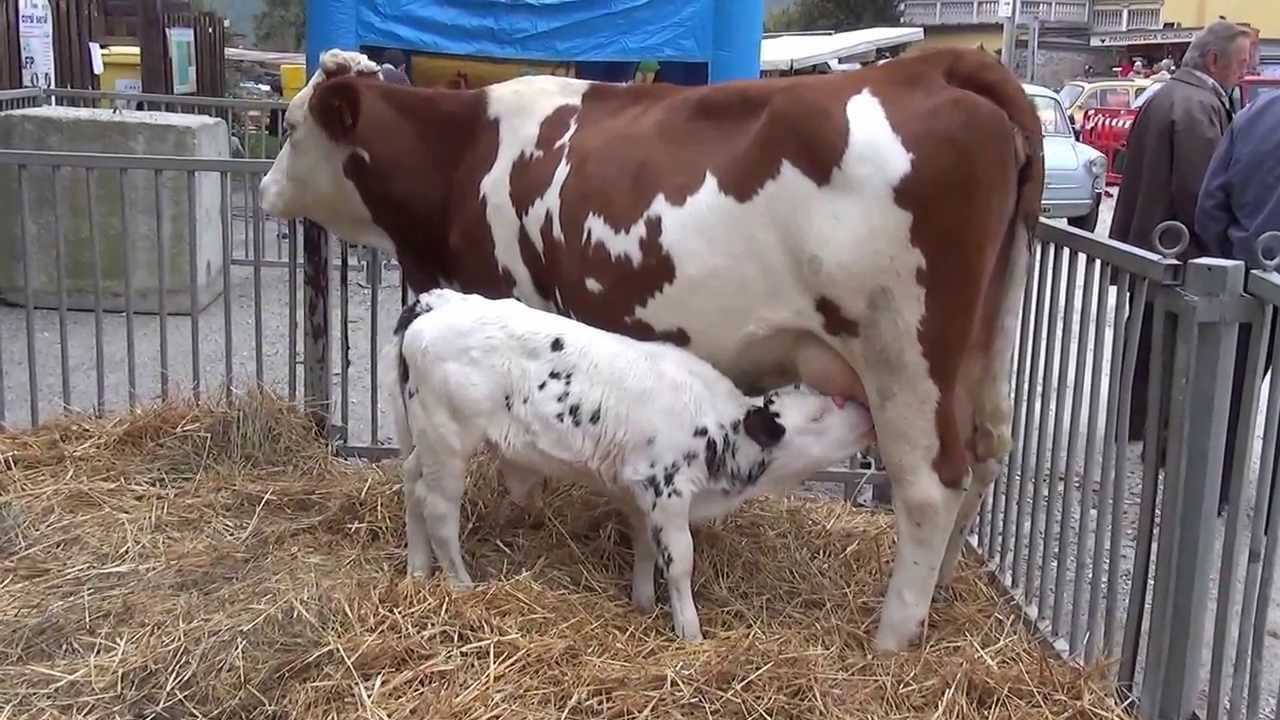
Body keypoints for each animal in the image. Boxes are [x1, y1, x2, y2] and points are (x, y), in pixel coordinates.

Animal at [383, 287, 876, 641]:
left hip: (424, 438)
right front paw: (691, 633)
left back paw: (417, 570)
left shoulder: (641, 492)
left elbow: (645, 548)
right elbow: (679, 561)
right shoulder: (669, 490)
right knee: (439, 508)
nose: (867, 412)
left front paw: (642, 603)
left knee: (410, 482)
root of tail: (438, 303)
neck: (717, 427)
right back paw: (462, 584)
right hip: (448, 438)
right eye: (819, 414)